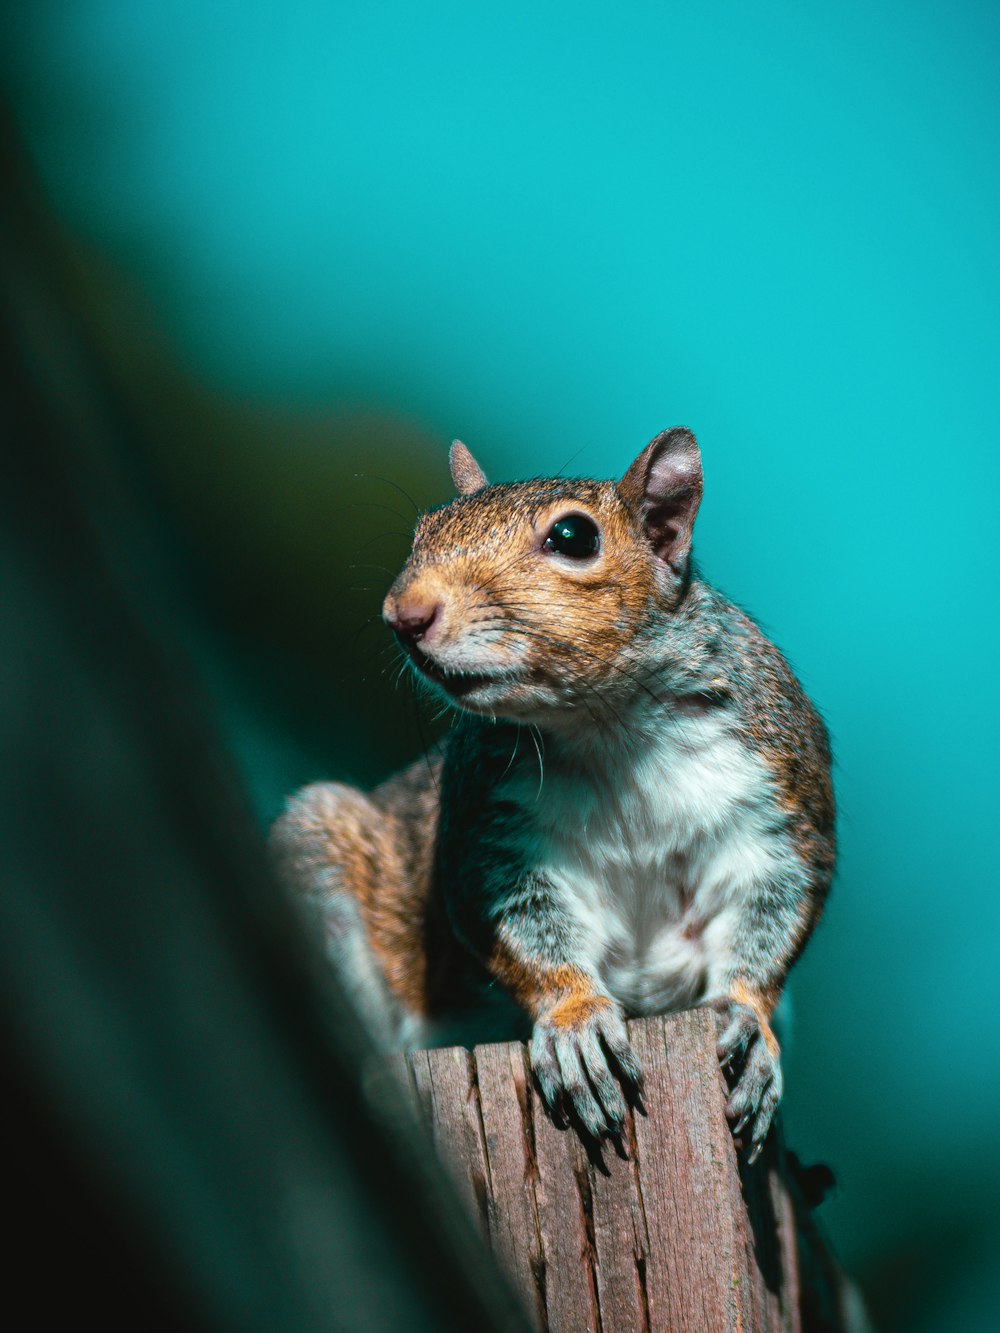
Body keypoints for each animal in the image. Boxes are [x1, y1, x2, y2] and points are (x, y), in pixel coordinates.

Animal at [270, 431, 832, 1162]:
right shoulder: (491, 833)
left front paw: (749, 1021)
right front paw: (575, 1021)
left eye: (574, 536)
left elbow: (774, 912)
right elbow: (525, 927)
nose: (404, 616)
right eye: (424, 528)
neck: (610, 721)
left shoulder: (780, 807)